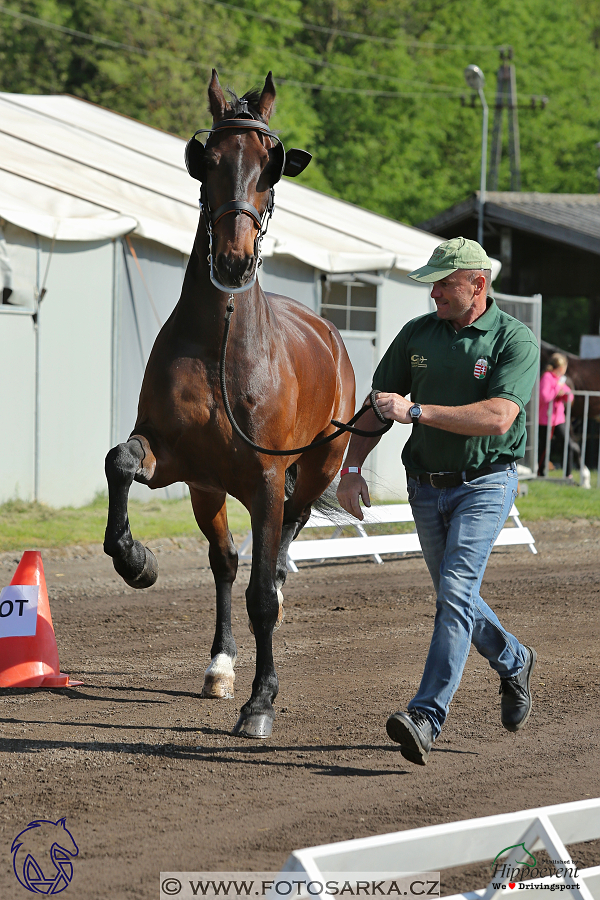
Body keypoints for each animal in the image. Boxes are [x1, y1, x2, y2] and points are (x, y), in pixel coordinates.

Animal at [103, 72, 356, 740]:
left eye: (271, 167)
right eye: (209, 160)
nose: (234, 260)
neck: (220, 337)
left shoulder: (266, 478)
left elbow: (262, 593)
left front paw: (262, 702)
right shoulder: (177, 462)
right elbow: (120, 462)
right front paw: (136, 560)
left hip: (315, 465)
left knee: (285, 539)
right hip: (210, 490)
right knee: (224, 561)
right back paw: (220, 664)